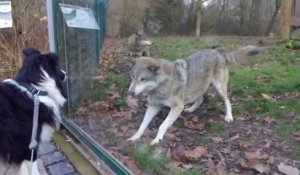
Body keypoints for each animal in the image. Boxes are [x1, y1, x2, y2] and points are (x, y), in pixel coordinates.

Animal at [127, 45, 262, 145]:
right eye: (133, 77)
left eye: (143, 79)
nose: (130, 92)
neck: (162, 84)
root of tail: (218, 52)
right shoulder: (154, 106)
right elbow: (142, 124)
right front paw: (134, 137)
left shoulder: (177, 107)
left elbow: (162, 125)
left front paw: (156, 140)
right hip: (197, 89)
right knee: (201, 99)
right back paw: (190, 110)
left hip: (219, 88)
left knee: (227, 101)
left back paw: (228, 116)